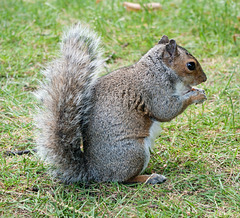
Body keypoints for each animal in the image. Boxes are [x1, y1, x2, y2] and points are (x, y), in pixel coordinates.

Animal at [35, 23, 206, 184]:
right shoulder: (154, 90)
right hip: (134, 152)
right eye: (190, 65)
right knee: (124, 179)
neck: (159, 70)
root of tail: (93, 171)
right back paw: (150, 178)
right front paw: (196, 95)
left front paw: (198, 91)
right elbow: (165, 111)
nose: (204, 78)